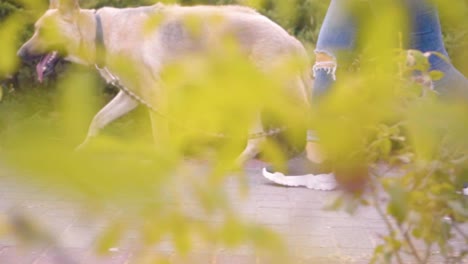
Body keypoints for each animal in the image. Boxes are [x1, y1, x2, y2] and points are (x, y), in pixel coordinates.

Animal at [17, 0, 310, 163]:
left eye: (42, 31)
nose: (18, 55)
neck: (101, 33)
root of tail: (291, 40)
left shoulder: (155, 97)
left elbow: (160, 138)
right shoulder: (129, 97)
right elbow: (97, 121)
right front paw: (82, 150)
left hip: (285, 97)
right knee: (256, 140)